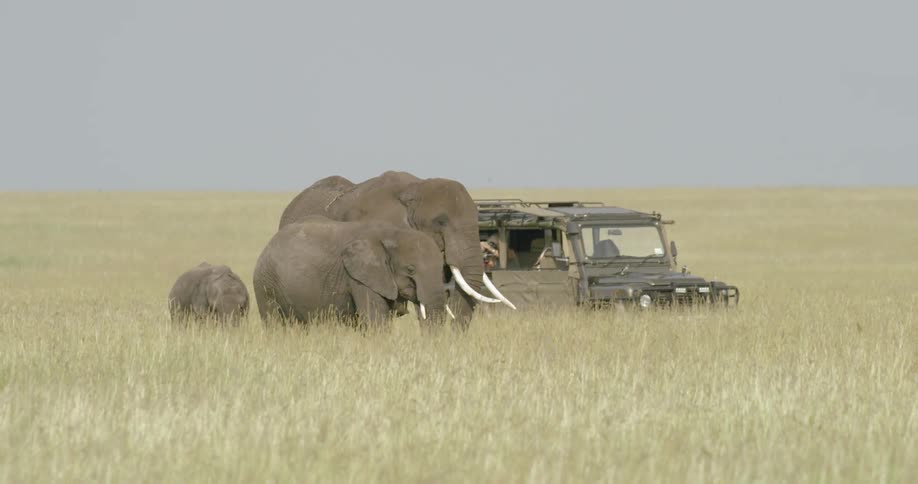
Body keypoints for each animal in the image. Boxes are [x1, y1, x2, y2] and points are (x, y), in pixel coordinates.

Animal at [253, 216, 451, 326]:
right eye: (410, 269)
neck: (392, 233)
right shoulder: (359, 277)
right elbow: (375, 319)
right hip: (265, 284)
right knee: (274, 323)